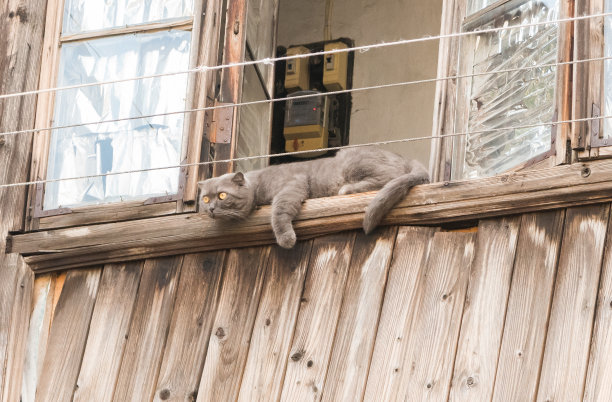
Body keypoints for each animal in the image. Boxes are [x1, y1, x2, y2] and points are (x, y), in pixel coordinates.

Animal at [198, 148, 428, 248]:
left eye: (222, 195)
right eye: (205, 199)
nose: (210, 209)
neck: (258, 183)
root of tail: (407, 158)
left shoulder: (292, 186)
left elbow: (279, 212)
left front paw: (286, 239)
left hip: (353, 161)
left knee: (388, 177)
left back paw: (346, 189)